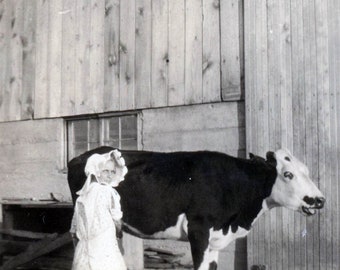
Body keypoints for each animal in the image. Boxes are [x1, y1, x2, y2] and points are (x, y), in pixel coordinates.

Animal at [67, 147, 326, 268]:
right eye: (288, 174)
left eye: (306, 170)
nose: (320, 199)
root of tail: (78, 157)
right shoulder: (199, 230)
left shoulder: (215, 238)